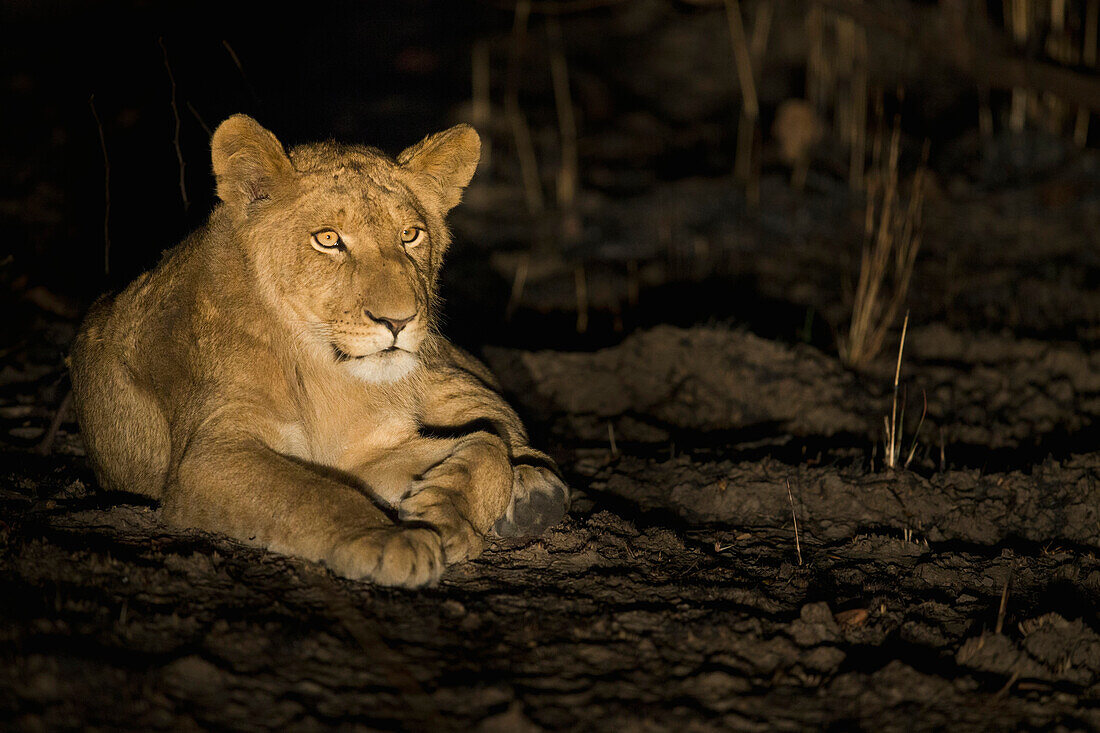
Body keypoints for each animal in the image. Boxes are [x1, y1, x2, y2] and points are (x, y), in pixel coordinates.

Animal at [70, 114, 567, 585]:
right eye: (328, 239)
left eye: (410, 235)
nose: (399, 321)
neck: (325, 373)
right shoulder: (208, 457)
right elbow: (312, 492)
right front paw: (388, 538)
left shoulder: (368, 450)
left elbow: (487, 444)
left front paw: (443, 517)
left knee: (496, 417)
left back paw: (536, 488)